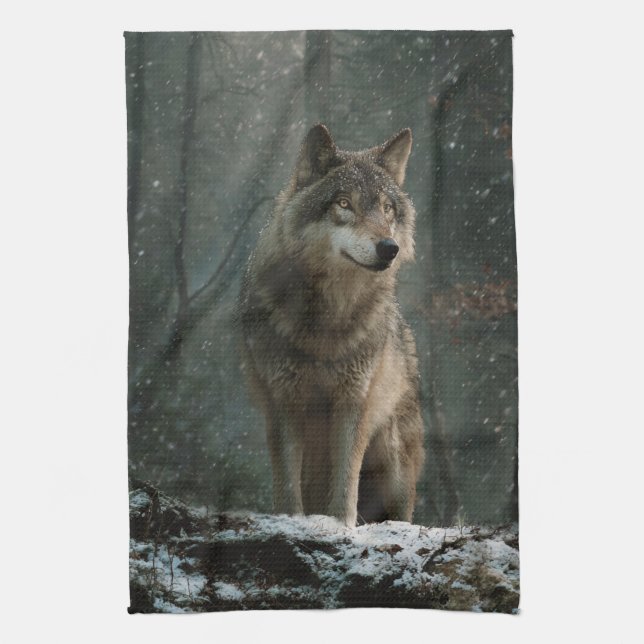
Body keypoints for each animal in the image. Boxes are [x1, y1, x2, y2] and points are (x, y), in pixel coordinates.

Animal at [239, 124, 424, 527]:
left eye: (387, 209)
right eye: (343, 203)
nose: (389, 248)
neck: (327, 321)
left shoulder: (354, 401)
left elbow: (345, 482)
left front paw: (341, 526)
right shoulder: (284, 400)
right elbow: (287, 485)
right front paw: (292, 521)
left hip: (393, 461)